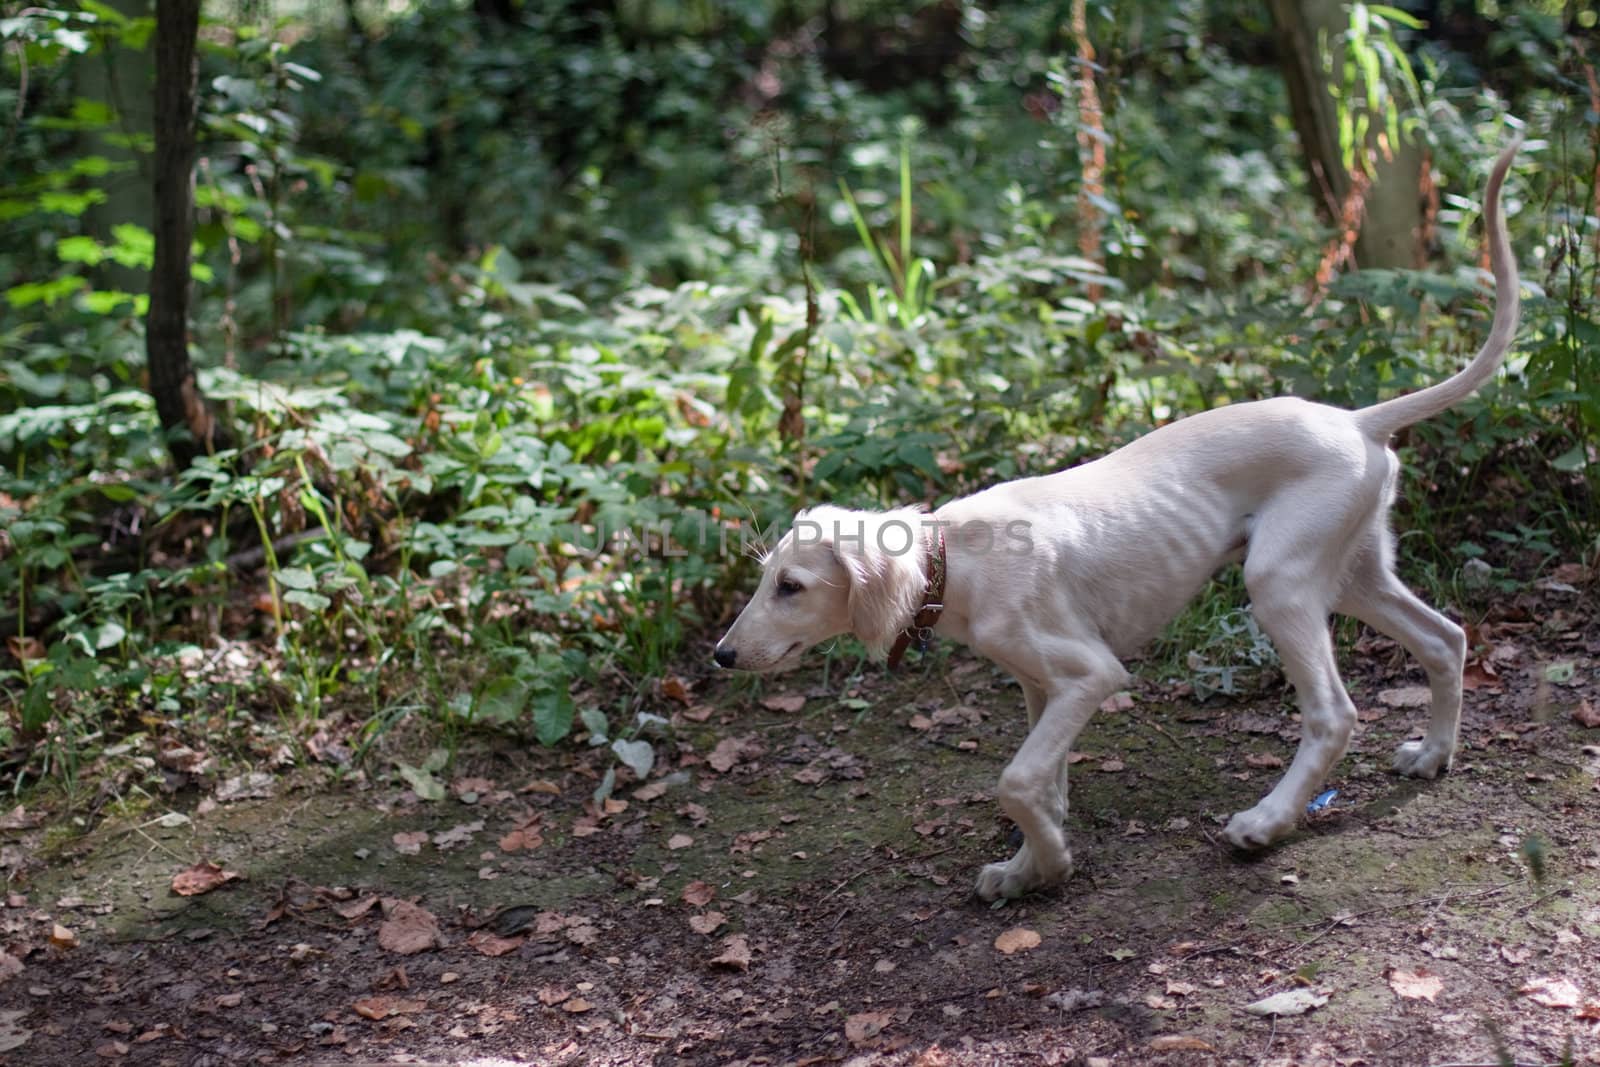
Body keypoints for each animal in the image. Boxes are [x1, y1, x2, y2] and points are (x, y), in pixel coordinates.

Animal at [716, 137, 1523, 895]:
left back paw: (1265, 822)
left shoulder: (1090, 674)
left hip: (1280, 581)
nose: (721, 656)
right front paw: (1029, 867)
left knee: (1334, 713)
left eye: (790, 586)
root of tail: (1357, 419)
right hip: (1352, 569)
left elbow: (1015, 780)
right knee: (1446, 638)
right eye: (765, 579)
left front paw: (1046, 861)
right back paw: (1433, 755)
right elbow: (1043, 783)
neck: (956, 556)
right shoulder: (1042, 687)